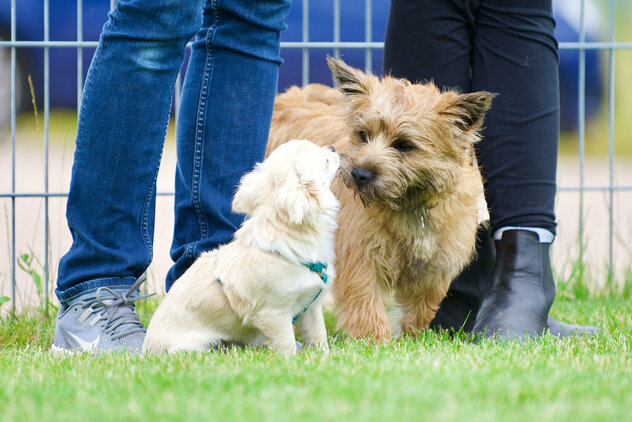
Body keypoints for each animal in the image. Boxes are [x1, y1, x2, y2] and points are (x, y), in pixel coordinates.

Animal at [143, 140, 340, 354]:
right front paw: (290, 360)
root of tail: (146, 351)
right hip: (194, 346)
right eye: (325, 160)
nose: (332, 148)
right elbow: (286, 343)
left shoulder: (310, 307)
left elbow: (318, 335)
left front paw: (323, 357)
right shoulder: (273, 314)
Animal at [266, 58, 494, 340]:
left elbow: (421, 308)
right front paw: (374, 339)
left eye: (405, 144)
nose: (360, 174)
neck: (410, 205)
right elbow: (366, 300)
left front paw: (413, 337)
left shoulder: (434, 269)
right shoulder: (360, 255)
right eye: (363, 134)